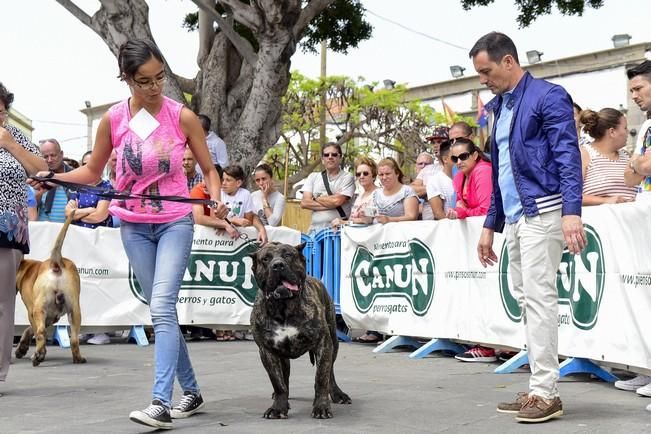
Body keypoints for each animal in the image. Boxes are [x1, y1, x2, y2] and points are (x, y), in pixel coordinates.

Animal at [14, 214, 85, 366]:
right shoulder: (50, 317)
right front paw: (23, 347)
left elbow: (32, 330)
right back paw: (78, 358)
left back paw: (38, 356)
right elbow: (29, 329)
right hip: (74, 310)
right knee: (74, 339)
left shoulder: (32, 312)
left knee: (41, 333)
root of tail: (57, 263)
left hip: (38, 309)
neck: (25, 269)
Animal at [250, 242, 352, 418]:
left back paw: (338, 394)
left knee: (330, 373)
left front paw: (321, 407)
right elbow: (277, 382)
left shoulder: (323, 344)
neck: (283, 307)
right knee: (285, 377)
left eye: (288, 255)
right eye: (265, 259)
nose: (278, 265)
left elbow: (321, 377)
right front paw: (278, 407)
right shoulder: (267, 350)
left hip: (333, 342)